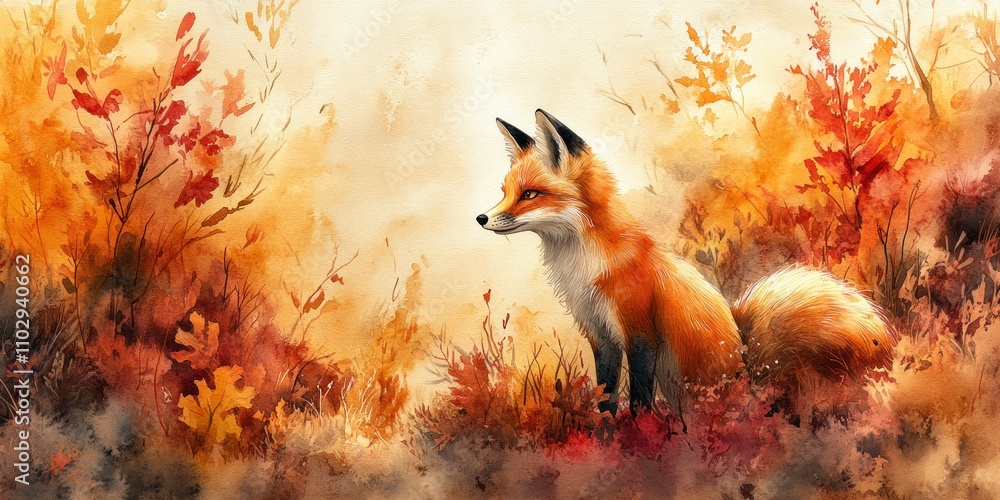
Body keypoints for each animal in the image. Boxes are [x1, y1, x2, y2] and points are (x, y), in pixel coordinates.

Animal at [477, 109, 895, 419]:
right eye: (506, 192)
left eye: (531, 194)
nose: (481, 218)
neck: (585, 266)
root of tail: (751, 374)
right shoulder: (600, 335)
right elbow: (606, 397)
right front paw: (605, 437)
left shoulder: (640, 332)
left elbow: (638, 400)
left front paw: (637, 439)